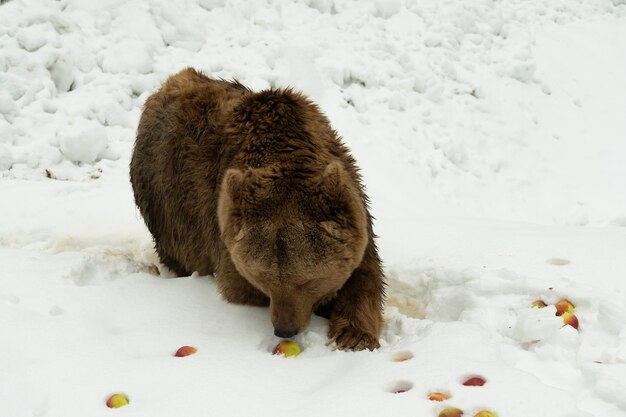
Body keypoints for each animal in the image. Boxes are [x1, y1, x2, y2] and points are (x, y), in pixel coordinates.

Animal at [129, 69, 382, 352]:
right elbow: (236, 286)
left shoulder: (352, 205)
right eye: (263, 280)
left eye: (309, 281)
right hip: (165, 201)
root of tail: (167, 84)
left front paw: (354, 334)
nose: (284, 329)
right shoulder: (223, 227)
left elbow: (366, 276)